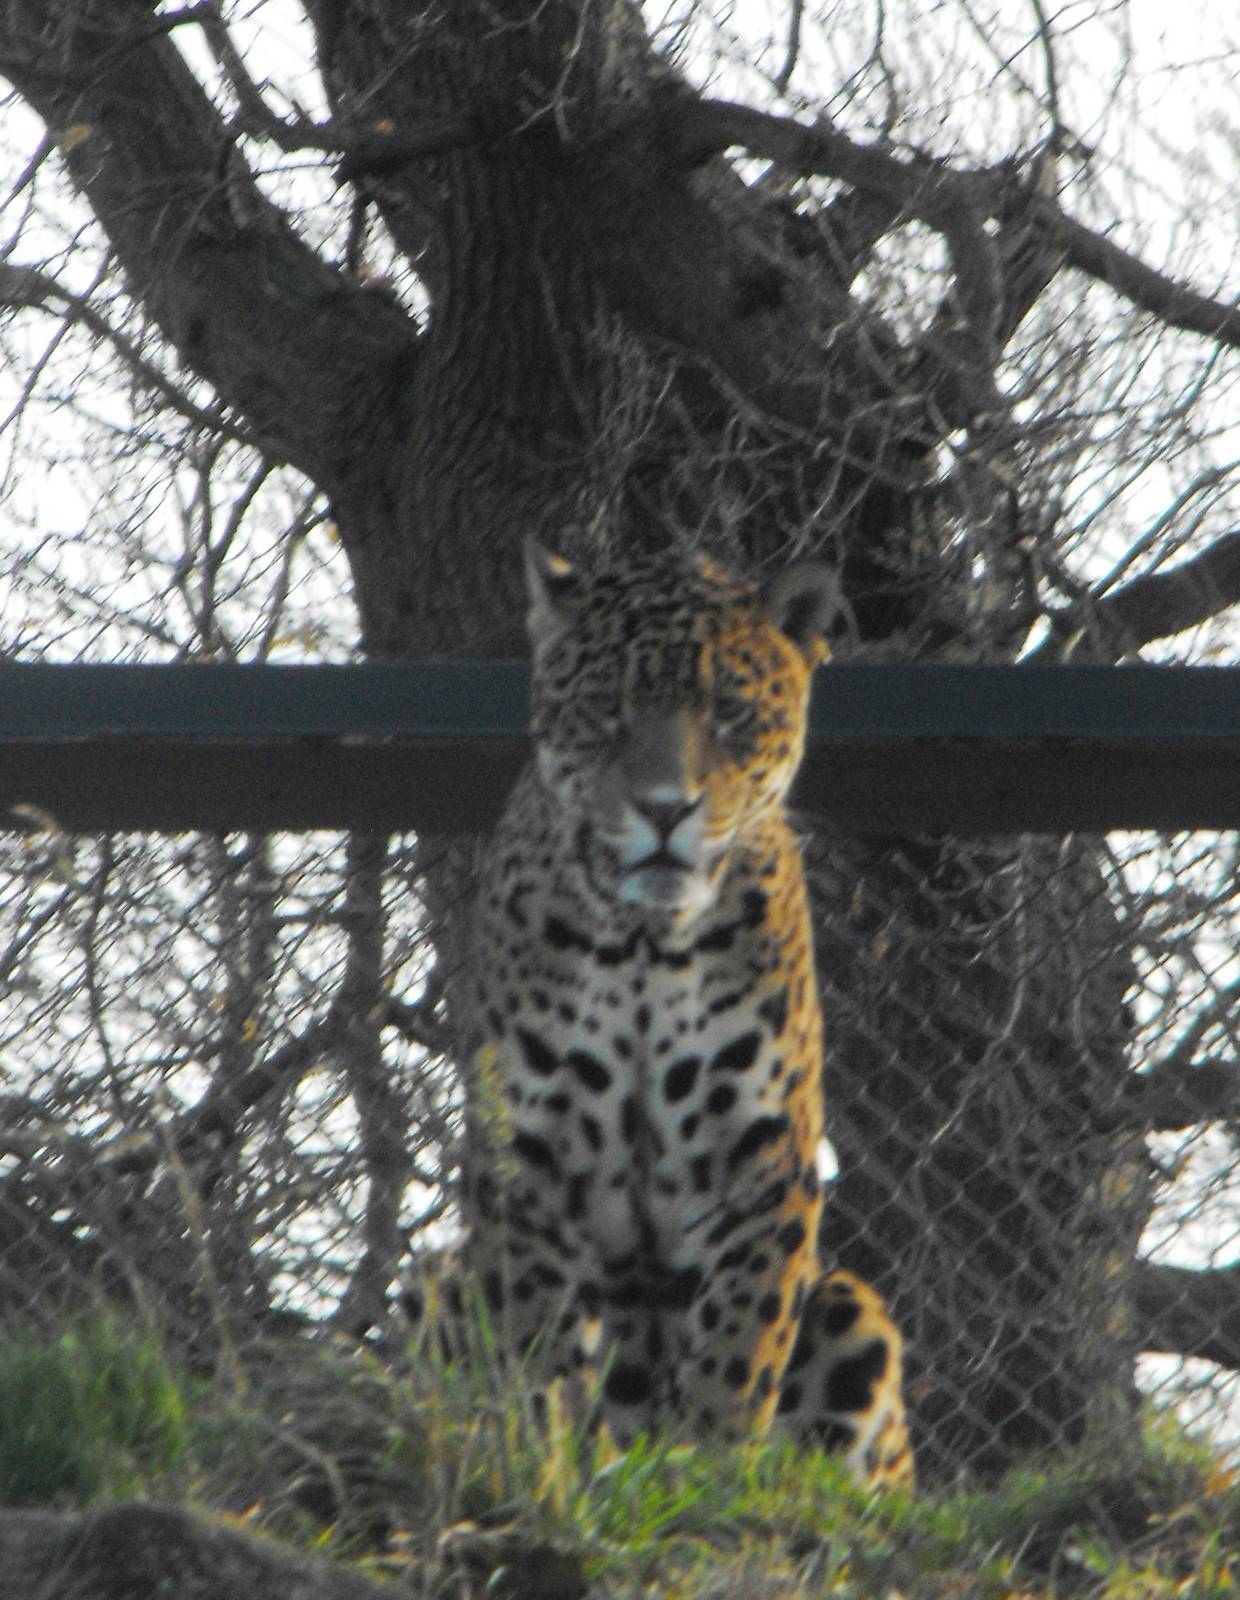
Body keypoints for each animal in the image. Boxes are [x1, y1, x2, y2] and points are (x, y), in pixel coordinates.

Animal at [451, 537, 912, 1484]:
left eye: (729, 710)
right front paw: (547, 1461)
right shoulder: (527, 1152)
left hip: (851, 1305)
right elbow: (536, 1338)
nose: (666, 809)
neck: (643, 945)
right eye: (606, 708)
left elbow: (739, 1344)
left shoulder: (764, 1154)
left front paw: (713, 1473)